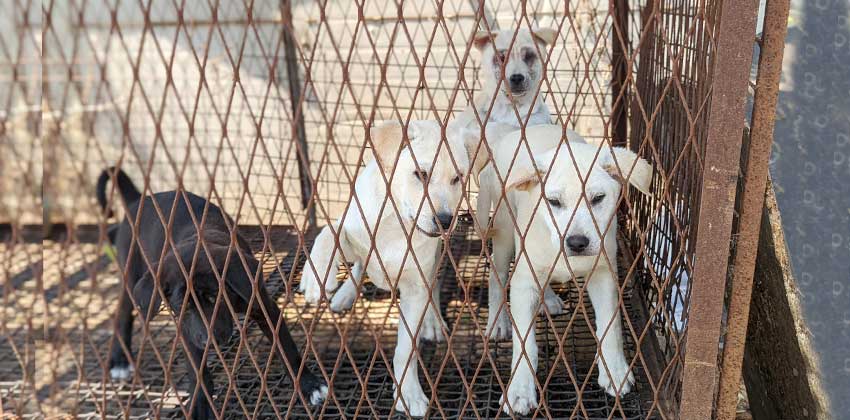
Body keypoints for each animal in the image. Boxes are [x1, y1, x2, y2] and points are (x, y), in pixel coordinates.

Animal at [97, 168, 328, 420]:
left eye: (215, 297)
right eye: (184, 307)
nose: (209, 341)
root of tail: (138, 200)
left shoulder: (263, 305)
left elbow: (287, 348)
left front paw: (309, 385)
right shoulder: (186, 327)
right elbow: (196, 369)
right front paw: (200, 405)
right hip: (131, 274)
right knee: (122, 313)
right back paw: (119, 360)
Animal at [298, 120, 474, 418]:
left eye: (457, 178)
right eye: (421, 174)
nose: (445, 221)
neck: (396, 223)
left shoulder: (415, 290)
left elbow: (406, 349)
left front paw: (409, 392)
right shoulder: (352, 233)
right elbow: (329, 231)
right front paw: (317, 273)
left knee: (433, 286)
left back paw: (433, 321)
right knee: (358, 266)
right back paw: (345, 294)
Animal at [474, 124, 652, 414]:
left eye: (598, 198)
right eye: (554, 202)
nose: (577, 243)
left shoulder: (603, 273)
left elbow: (610, 326)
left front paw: (614, 371)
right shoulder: (523, 282)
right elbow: (525, 344)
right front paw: (519, 390)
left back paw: (547, 298)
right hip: (503, 231)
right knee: (496, 275)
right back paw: (498, 322)